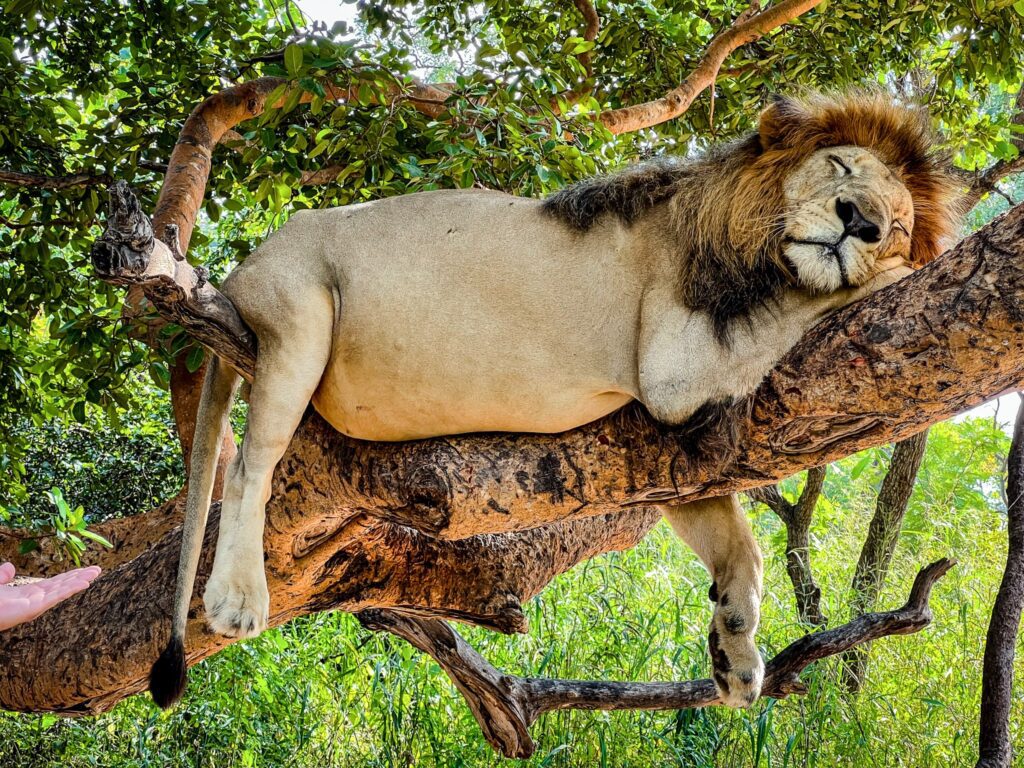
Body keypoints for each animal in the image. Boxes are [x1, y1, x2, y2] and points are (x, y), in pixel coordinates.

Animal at [149, 93, 958, 712]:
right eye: (842, 167)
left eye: (898, 219)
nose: (861, 223)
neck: (746, 242)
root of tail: (240, 269)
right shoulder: (677, 369)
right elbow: (827, 299)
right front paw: (906, 269)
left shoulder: (676, 446)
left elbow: (742, 551)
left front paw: (735, 656)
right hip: (301, 309)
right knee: (249, 467)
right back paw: (238, 597)